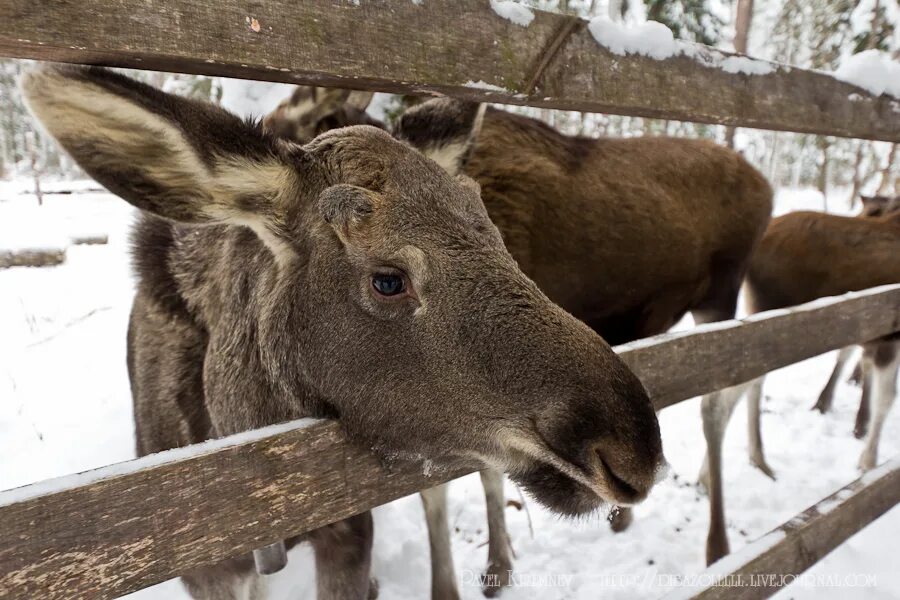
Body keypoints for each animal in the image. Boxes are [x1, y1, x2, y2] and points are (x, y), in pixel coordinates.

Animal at [262, 84, 772, 580]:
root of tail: (766, 185)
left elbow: (477, 473)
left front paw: (499, 563)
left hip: (720, 298)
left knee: (718, 399)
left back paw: (718, 540)